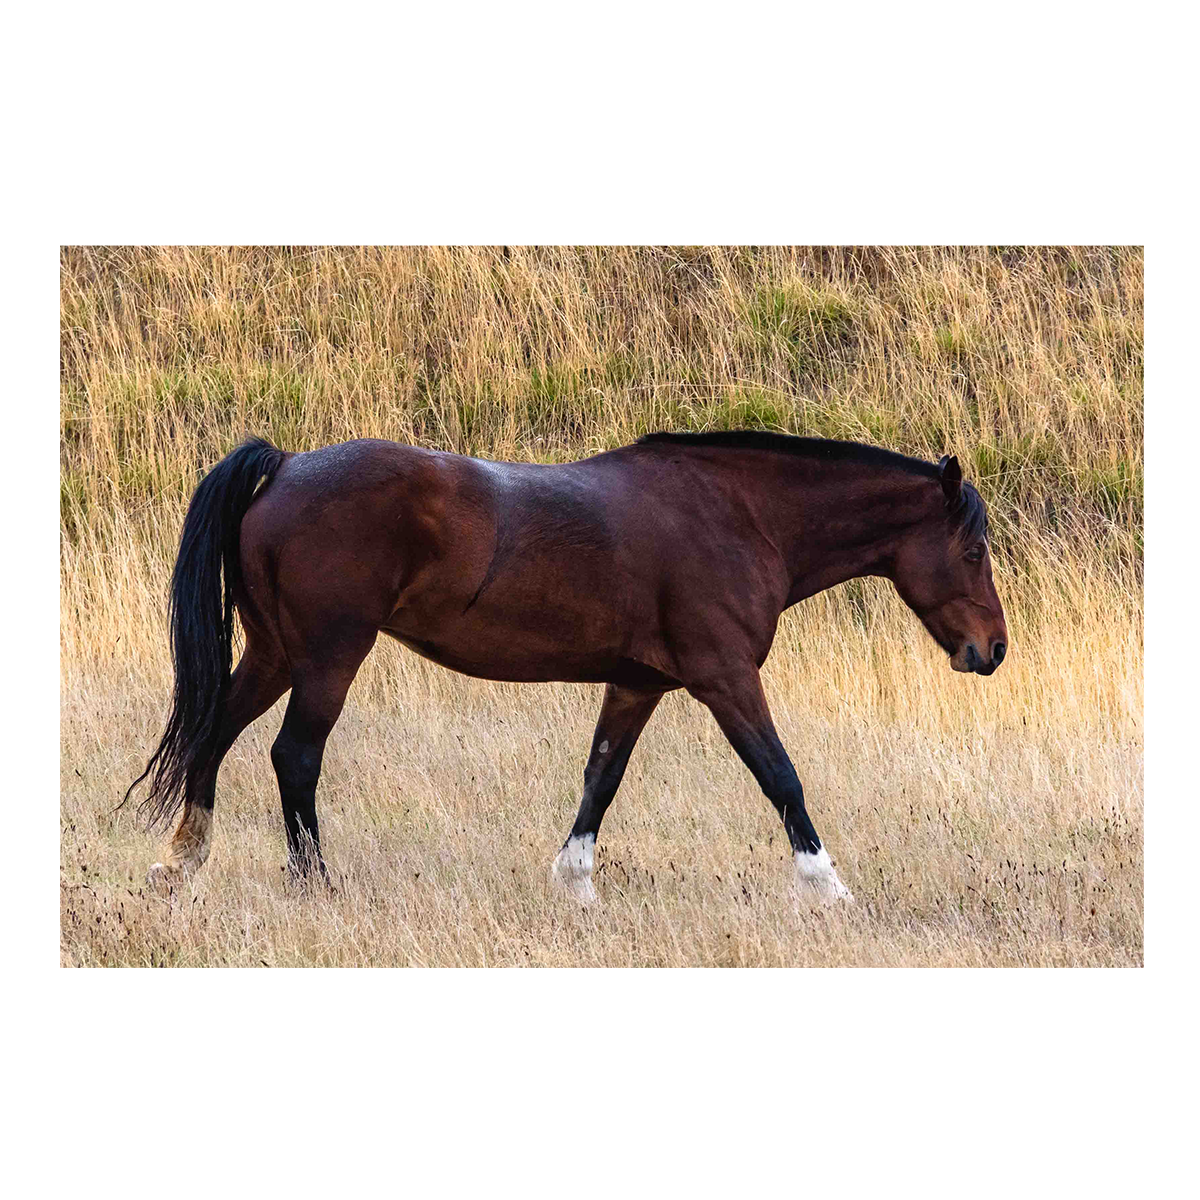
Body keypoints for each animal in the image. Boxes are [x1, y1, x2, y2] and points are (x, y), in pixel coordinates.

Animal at [124, 427, 1003, 902]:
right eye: (973, 548)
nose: (990, 650)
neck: (737, 516)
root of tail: (287, 464)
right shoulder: (725, 679)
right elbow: (780, 777)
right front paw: (828, 888)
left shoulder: (639, 685)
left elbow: (600, 779)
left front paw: (574, 881)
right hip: (328, 657)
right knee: (294, 756)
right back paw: (315, 883)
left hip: (274, 653)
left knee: (213, 737)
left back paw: (180, 862)